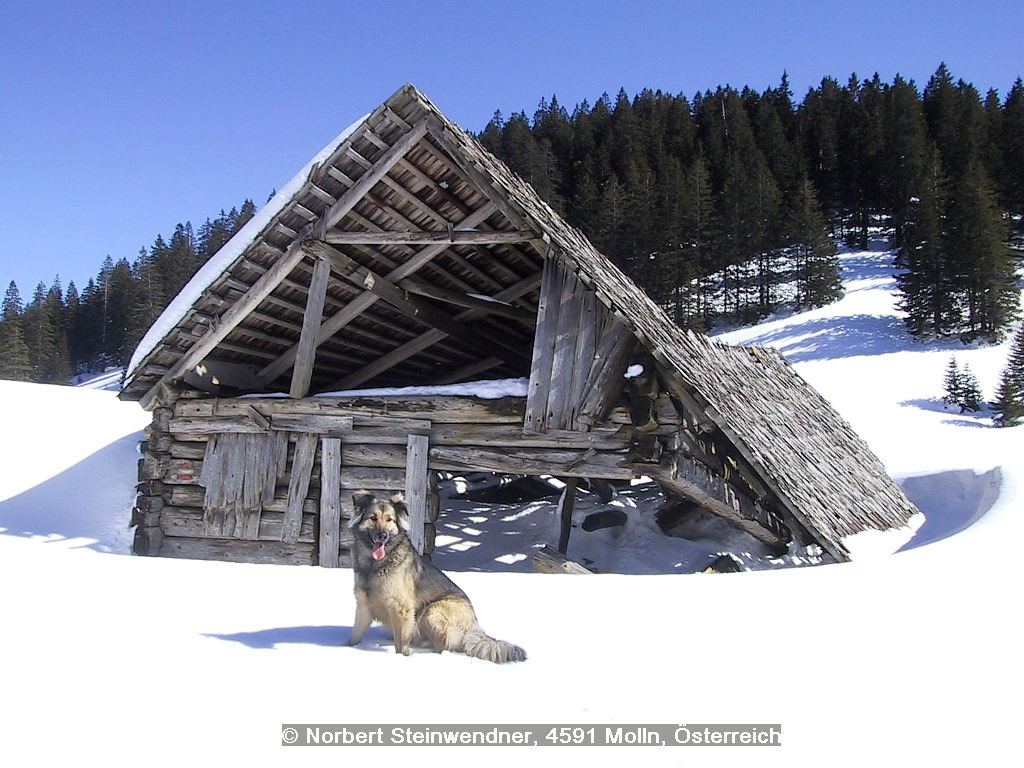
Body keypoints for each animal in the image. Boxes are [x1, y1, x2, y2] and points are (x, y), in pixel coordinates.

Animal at [350, 493, 528, 667]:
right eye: (373, 518)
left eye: (389, 520)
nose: (382, 536)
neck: (375, 565)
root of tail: (475, 626)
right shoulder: (363, 606)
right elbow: (355, 637)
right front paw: (349, 648)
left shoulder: (402, 610)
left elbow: (401, 644)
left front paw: (402, 658)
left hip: (431, 611)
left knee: (443, 644)